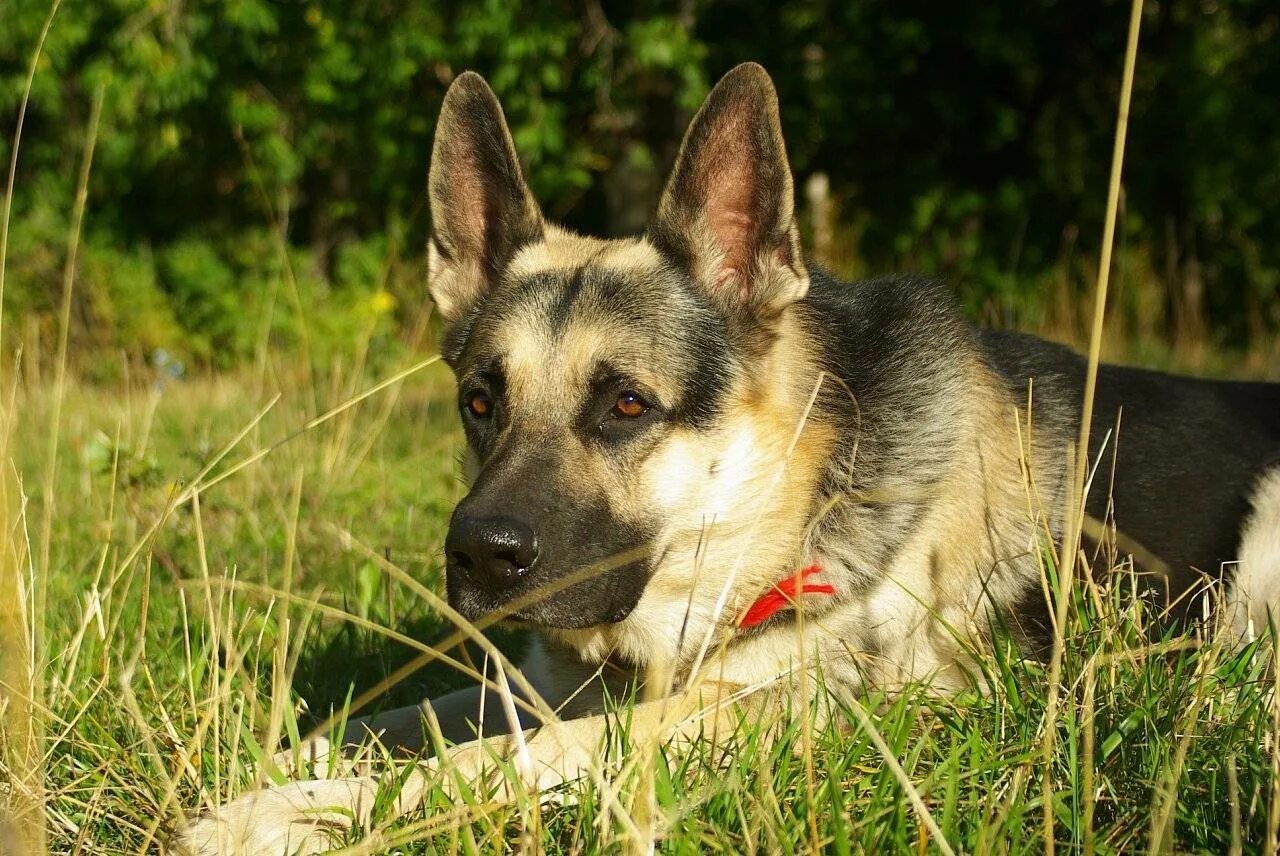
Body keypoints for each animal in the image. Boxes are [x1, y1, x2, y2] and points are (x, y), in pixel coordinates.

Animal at [180, 61, 1280, 854]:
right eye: (479, 404)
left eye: (626, 405)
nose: (478, 556)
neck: (780, 512)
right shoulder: (543, 678)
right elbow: (399, 714)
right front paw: (276, 759)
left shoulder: (751, 716)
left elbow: (483, 760)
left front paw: (281, 811)